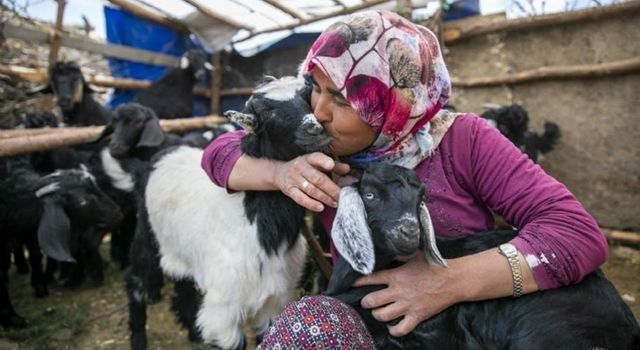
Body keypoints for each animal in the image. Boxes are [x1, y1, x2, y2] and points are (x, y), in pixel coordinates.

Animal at [127, 76, 332, 350]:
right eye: (267, 113)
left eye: (308, 94)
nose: (315, 129)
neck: (257, 229)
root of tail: (163, 153)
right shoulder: (224, 310)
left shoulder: (275, 300)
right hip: (146, 237)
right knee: (136, 281)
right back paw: (139, 338)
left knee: (183, 285)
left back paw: (193, 332)